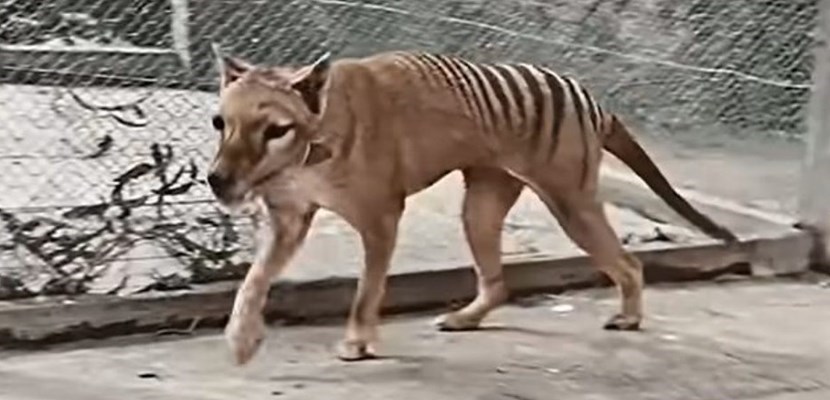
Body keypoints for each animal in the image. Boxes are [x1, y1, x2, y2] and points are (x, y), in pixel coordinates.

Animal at [206, 44, 737, 365]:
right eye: (219, 122)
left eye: (276, 129)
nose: (217, 181)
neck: (313, 143)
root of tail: (591, 98)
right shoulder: (289, 219)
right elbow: (251, 283)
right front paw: (241, 338)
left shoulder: (381, 218)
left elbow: (366, 292)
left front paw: (357, 341)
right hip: (481, 206)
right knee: (498, 282)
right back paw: (467, 318)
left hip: (571, 202)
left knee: (629, 264)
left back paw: (628, 316)